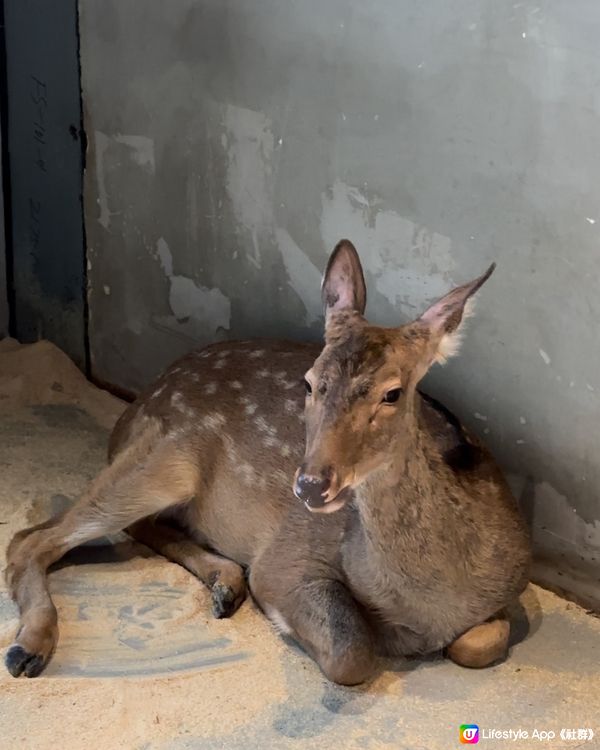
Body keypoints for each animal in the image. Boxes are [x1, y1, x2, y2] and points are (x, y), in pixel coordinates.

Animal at [4, 242, 528, 688]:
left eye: (393, 393)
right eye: (309, 381)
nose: (311, 485)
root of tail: (132, 410)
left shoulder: (511, 592)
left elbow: (478, 643)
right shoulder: (287, 556)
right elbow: (352, 652)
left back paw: (224, 583)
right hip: (167, 454)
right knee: (30, 538)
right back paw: (28, 649)